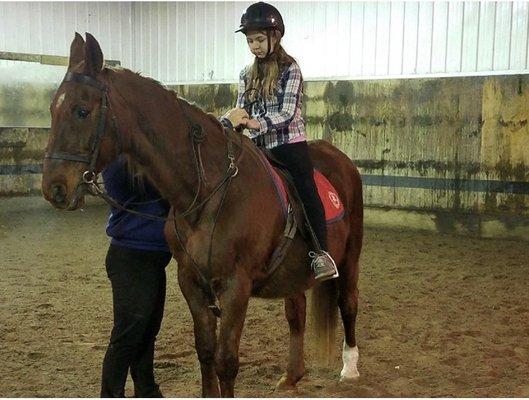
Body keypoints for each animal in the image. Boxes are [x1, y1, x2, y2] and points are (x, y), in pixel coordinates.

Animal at [42, 33, 364, 396]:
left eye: (82, 111)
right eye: (53, 109)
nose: (54, 187)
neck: (210, 189)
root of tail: (340, 158)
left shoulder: (236, 287)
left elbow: (226, 360)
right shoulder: (191, 281)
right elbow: (206, 351)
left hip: (350, 256)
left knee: (348, 303)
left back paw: (350, 368)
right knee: (296, 312)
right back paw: (292, 375)